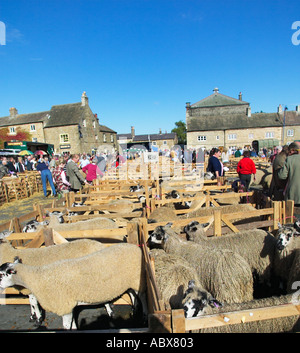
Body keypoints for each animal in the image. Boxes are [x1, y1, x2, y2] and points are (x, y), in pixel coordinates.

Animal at [0, 242, 146, 330]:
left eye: (1, 274)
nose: (0, 285)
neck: (38, 277)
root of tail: (135, 247)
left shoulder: (64, 306)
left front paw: (37, 319)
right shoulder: (69, 306)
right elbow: (73, 325)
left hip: (137, 280)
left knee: (142, 298)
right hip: (130, 281)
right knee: (132, 294)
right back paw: (133, 311)